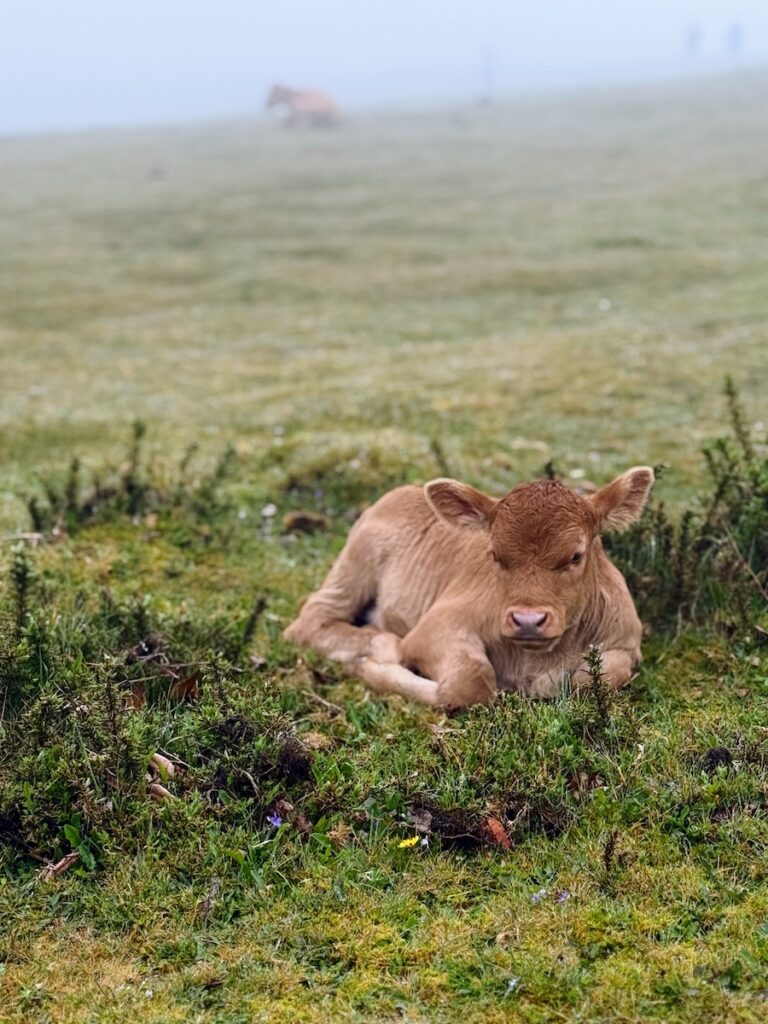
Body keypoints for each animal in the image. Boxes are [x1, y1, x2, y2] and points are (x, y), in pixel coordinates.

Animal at [283, 467, 655, 708]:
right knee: (310, 620)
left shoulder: (627, 644)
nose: (528, 621)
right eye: (495, 554)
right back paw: (381, 643)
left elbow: (590, 681)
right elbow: (470, 685)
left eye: (576, 555)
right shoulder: (433, 629)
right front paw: (373, 668)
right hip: (353, 567)